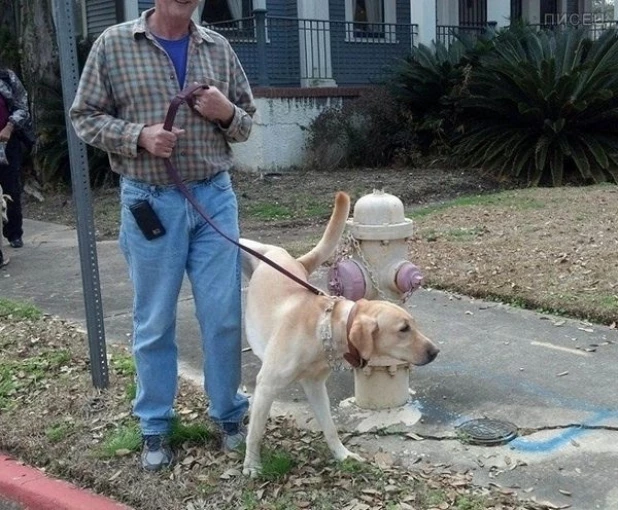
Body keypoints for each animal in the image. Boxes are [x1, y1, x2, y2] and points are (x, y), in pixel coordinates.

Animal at [241, 192, 438, 478]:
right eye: (404, 329)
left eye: (413, 324)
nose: (435, 352)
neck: (323, 328)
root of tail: (294, 260)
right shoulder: (266, 386)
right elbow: (255, 432)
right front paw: (252, 465)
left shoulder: (315, 386)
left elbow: (330, 428)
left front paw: (343, 455)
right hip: (256, 248)